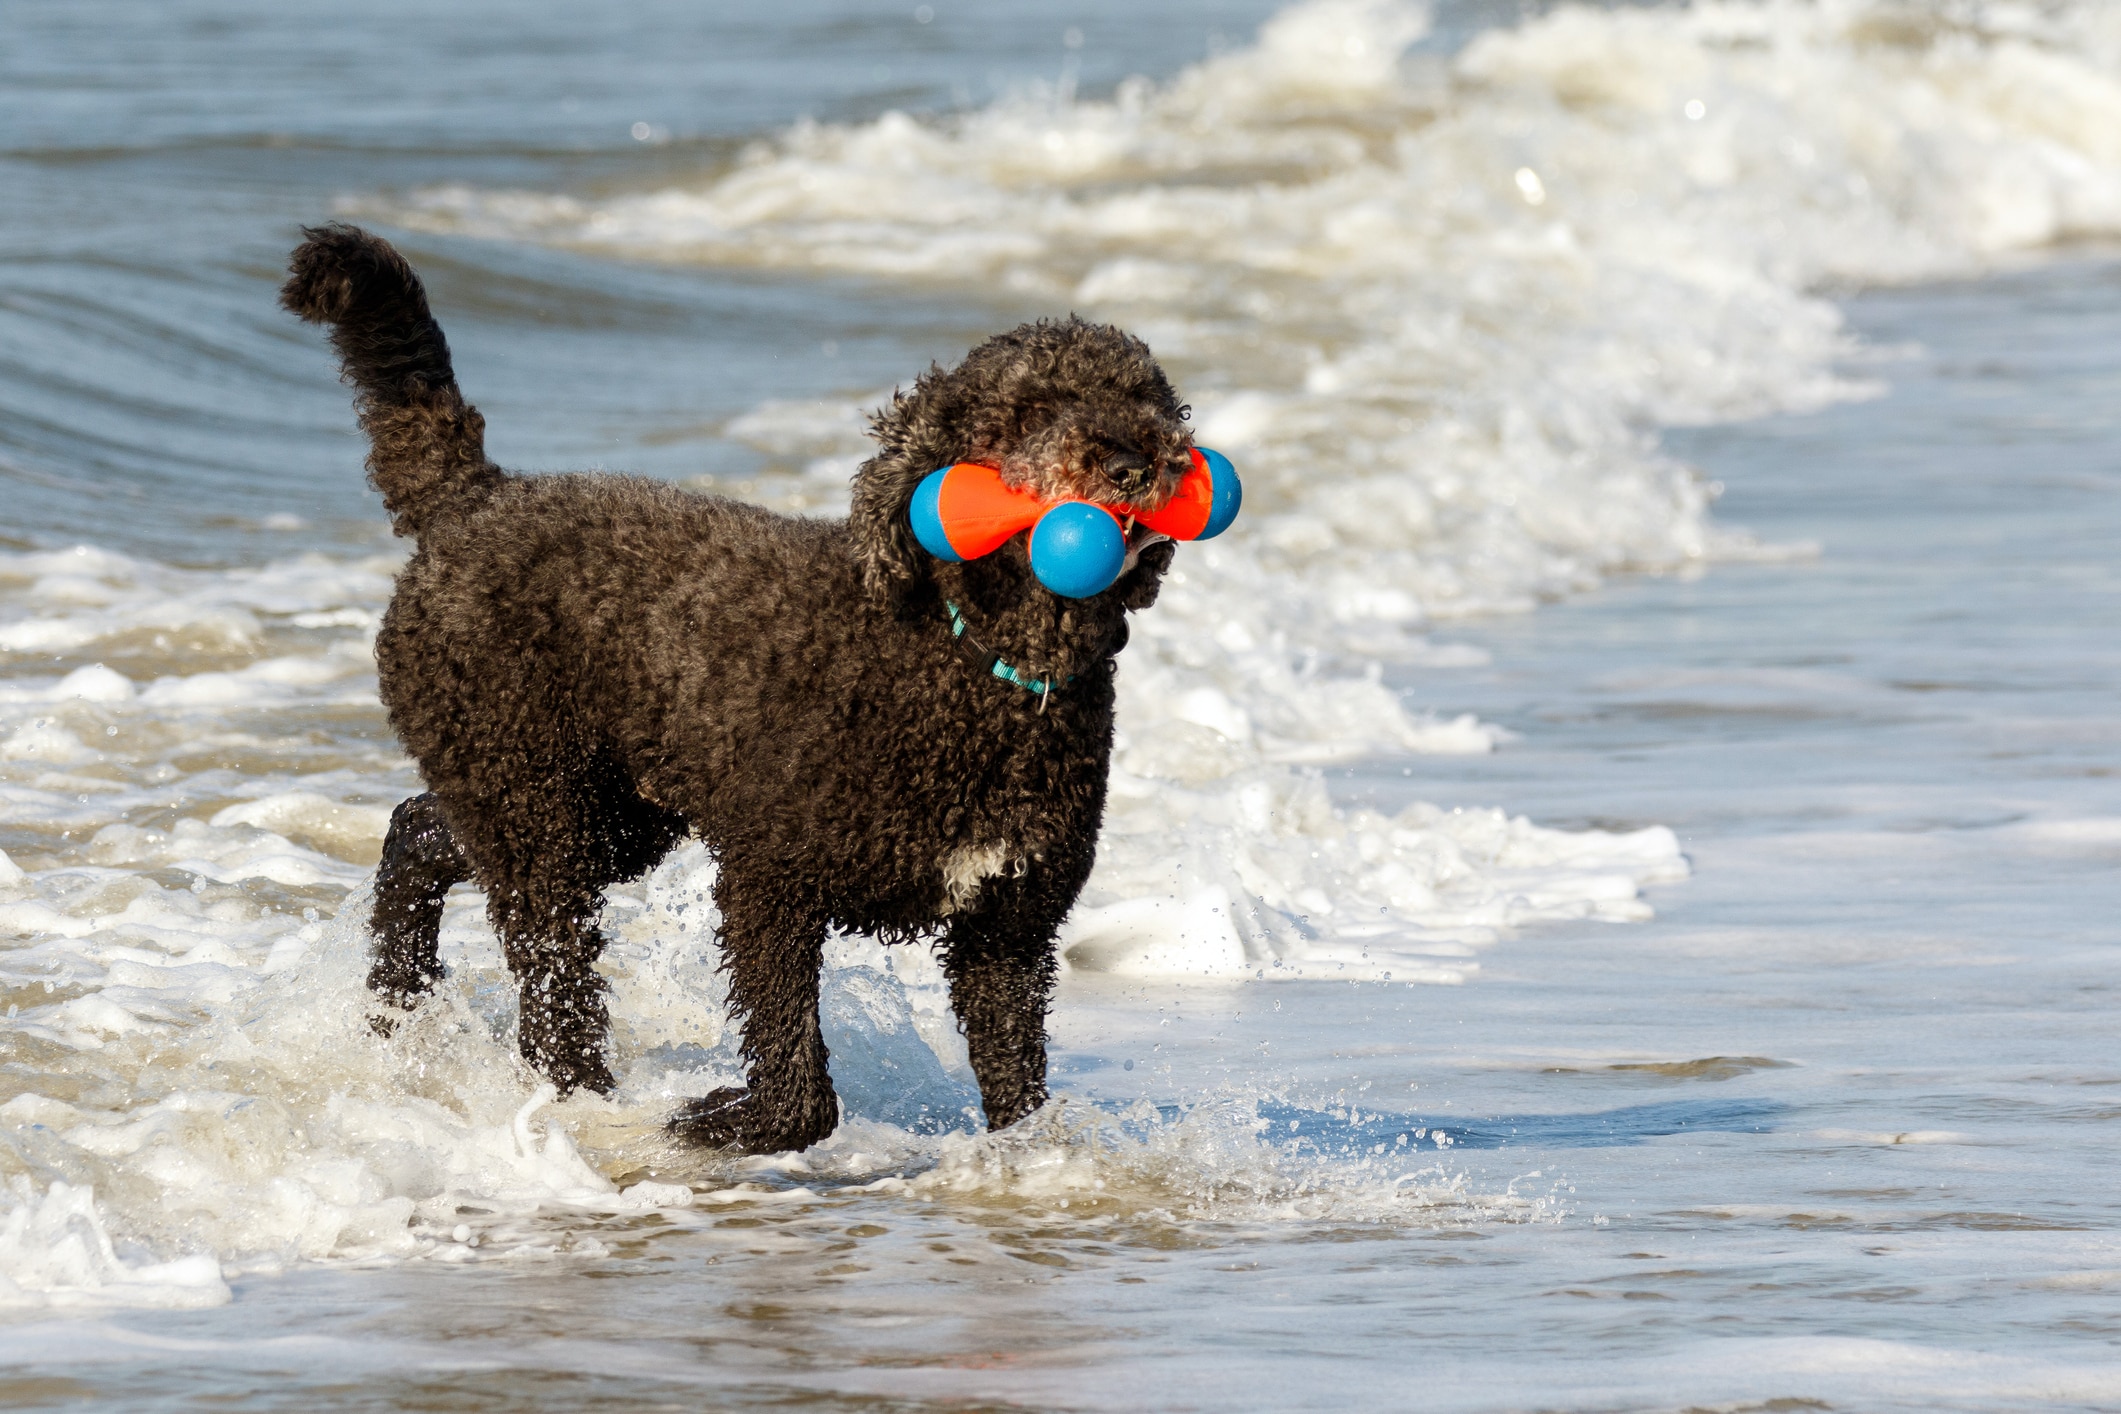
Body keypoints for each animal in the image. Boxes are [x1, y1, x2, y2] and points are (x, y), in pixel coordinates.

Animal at [286, 221, 1196, 1153]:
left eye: (1150, 400)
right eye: (1029, 410)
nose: (1134, 462)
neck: (978, 661)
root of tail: (471, 499)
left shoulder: (1007, 933)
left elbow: (1017, 1085)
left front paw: (1030, 1156)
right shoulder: (768, 884)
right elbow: (801, 1089)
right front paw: (716, 1120)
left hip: (598, 813)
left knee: (421, 830)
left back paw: (399, 1011)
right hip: (531, 796)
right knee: (548, 968)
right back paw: (579, 1098)